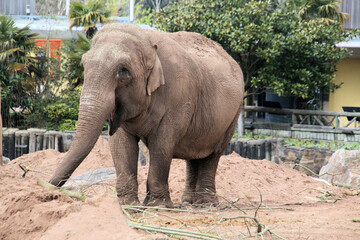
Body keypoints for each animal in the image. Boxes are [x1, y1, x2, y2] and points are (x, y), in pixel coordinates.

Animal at [49, 24, 243, 208]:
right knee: (194, 155)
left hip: (233, 115)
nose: (49, 189)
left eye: (123, 71)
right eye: (83, 64)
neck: (147, 39)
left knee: (212, 155)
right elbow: (120, 143)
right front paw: (128, 205)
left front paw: (157, 206)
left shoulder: (179, 99)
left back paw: (205, 204)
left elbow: (162, 143)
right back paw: (187, 203)